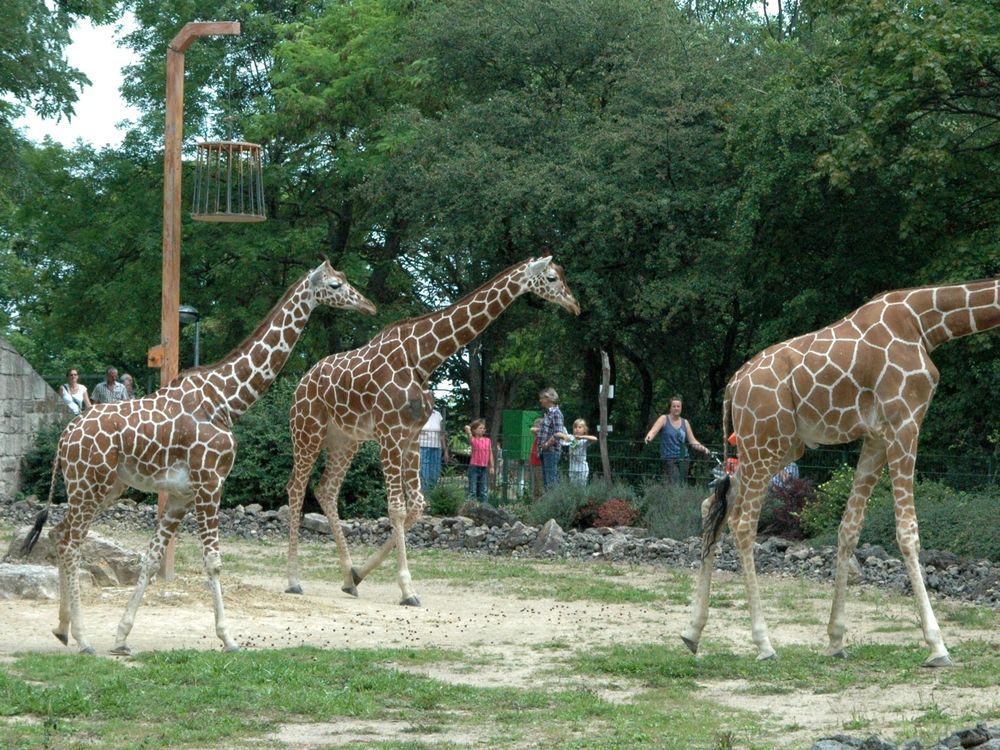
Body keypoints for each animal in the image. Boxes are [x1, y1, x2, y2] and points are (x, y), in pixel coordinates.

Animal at [22, 262, 376, 656]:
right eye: (336, 285)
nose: (369, 306)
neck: (227, 400)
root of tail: (64, 436)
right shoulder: (210, 483)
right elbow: (214, 562)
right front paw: (229, 638)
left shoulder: (181, 495)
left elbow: (151, 559)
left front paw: (121, 636)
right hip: (88, 483)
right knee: (71, 542)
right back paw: (83, 640)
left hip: (104, 487)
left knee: (60, 533)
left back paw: (62, 629)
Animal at [284, 258, 580, 604]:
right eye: (552, 277)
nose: (574, 304)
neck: (422, 358)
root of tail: (301, 383)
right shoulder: (390, 433)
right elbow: (397, 508)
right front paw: (407, 589)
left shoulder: (412, 436)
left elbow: (417, 506)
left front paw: (360, 573)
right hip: (307, 430)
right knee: (296, 487)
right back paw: (293, 580)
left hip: (345, 440)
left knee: (326, 490)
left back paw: (348, 578)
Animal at [688, 280, 1000, 668]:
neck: (927, 324)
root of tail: (732, 386)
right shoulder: (904, 421)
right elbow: (907, 533)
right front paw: (937, 645)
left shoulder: (876, 436)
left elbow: (849, 528)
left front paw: (836, 639)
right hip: (765, 442)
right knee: (743, 523)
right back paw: (763, 643)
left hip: (775, 446)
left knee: (714, 504)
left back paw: (692, 633)